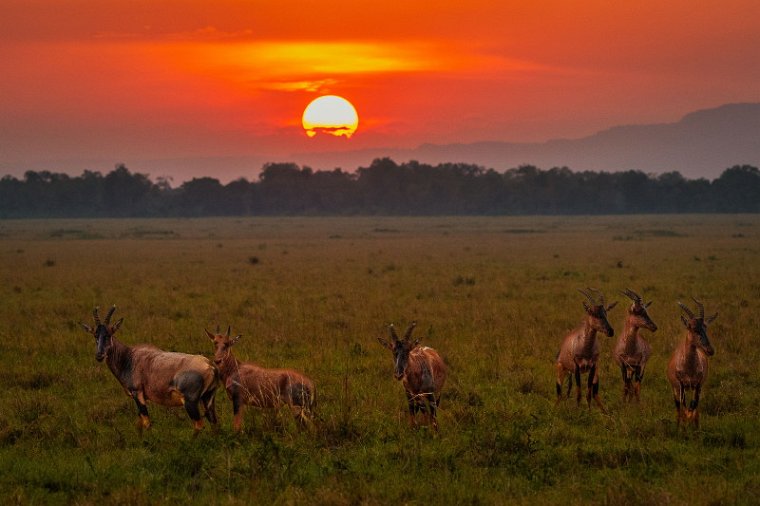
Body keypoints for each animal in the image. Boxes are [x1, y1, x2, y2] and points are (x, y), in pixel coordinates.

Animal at [83, 306, 220, 432]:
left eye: (109, 334)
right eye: (95, 335)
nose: (99, 355)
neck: (129, 357)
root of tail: (210, 366)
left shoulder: (137, 393)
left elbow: (147, 422)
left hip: (190, 402)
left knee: (199, 425)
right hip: (207, 399)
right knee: (214, 422)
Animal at [556, 286, 620, 414]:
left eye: (606, 313)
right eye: (592, 313)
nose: (610, 331)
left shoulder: (593, 367)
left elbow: (588, 393)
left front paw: (589, 412)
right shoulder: (576, 368)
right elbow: (578, 393)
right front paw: (578, 411)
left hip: (593, 374)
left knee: (594, 393)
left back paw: (605, 411)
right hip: (562, 369)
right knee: (560, 392)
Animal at [664, 298, 720, 428]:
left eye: (705, 327)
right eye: (691, 327)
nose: (710, 350)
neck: (689, 368)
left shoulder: (698, 385)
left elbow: (693, 406)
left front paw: (693, 424)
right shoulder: (681, 385)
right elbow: (684, 407)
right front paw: (684, 426)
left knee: (695, 407)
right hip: (675, 389)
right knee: (679, 408)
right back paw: (679, 426)